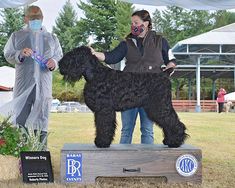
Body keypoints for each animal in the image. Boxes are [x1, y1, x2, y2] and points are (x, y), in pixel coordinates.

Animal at [58, 46, 187, 148]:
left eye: (73, 55)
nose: (60, 64)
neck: (96, 74)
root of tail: (164, 75)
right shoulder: (101, 110)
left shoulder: (104, 110)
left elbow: (104, 126)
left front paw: (102, 142)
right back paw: (169, 140)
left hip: (160, 106)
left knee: (173, 121)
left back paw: (175, 142)